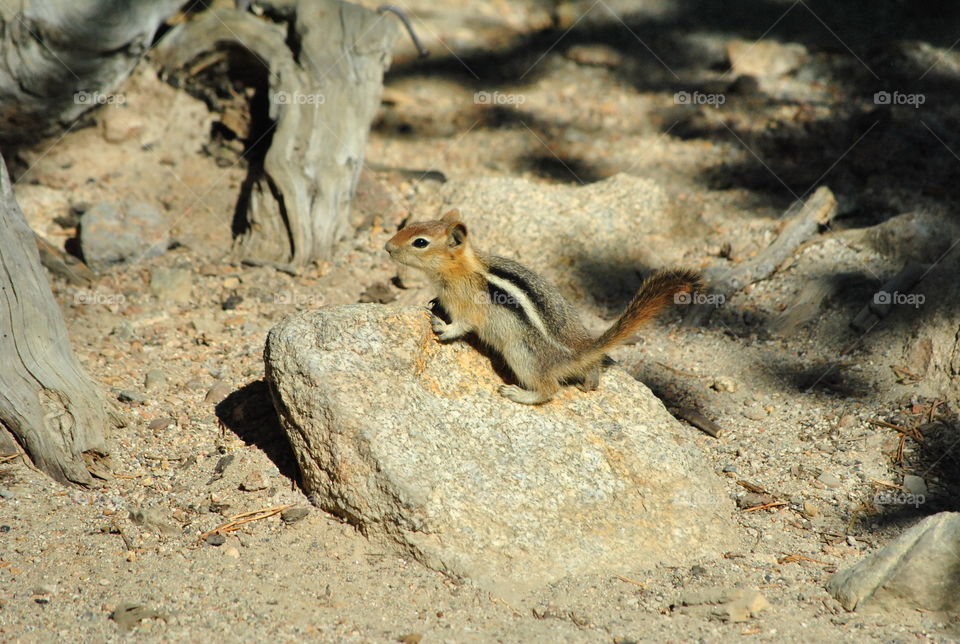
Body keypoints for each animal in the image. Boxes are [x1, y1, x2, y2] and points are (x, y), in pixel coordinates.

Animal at [385, 209, 702, 404]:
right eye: (410, 225)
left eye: (420, 242)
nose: (387, 247)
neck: (461, 268)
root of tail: (577, 351)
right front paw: (435, 303)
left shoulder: (467, 305)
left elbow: (463, 324)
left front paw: (442, 326)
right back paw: (591, 380)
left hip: (521, 354)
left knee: (550, 390)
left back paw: (519, 394)